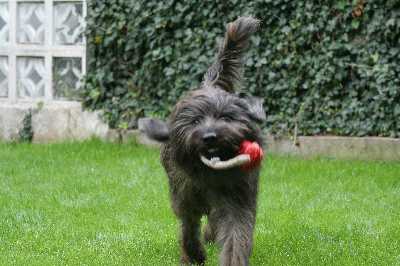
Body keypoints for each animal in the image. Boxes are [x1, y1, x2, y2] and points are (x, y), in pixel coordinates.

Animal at [139, 17, 264, 266]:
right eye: (195, 121)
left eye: (226, 117)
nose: (209, 137)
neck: (211, 175)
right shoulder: (184, 195)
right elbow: (188, 225)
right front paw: (194, 254)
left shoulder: (237, 198)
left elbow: (236, 235)